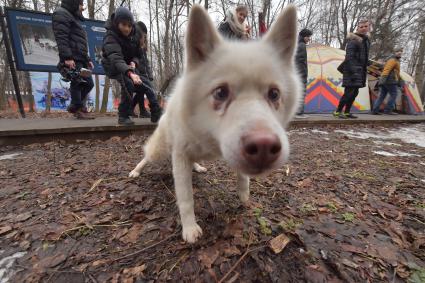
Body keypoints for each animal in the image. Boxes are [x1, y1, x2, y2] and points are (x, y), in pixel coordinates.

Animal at [129, 3, 302, 244]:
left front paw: (244, 195)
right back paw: (136, 171)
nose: (264, 147)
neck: (209, 139)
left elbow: (243, 176)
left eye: (274, 94)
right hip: (159, 150)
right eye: (220, 93)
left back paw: (198, 166)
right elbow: (186, 199)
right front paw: (189, 228)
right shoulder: (180, 156)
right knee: (146, 157)